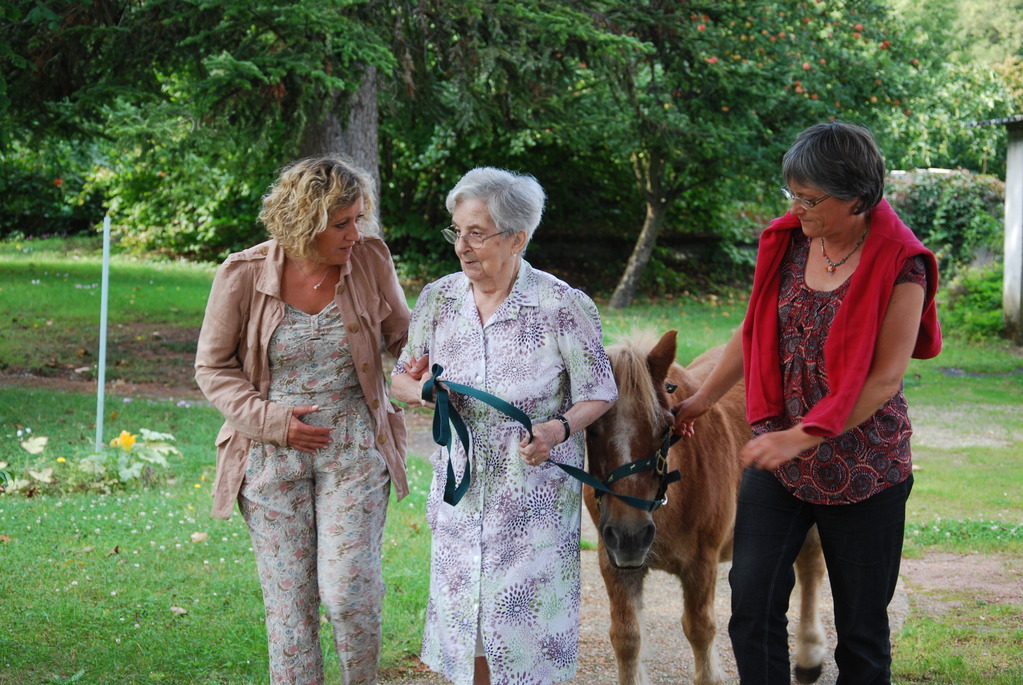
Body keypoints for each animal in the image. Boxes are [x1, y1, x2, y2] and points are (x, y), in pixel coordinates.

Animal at [589, 331, 826, 685]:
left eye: (666, 427)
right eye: (591, 429)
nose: (630, 535)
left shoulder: (701, 564)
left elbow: (700, 630)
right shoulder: (614, 562)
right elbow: (627, 638)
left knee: (810, 568)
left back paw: (809, 655)